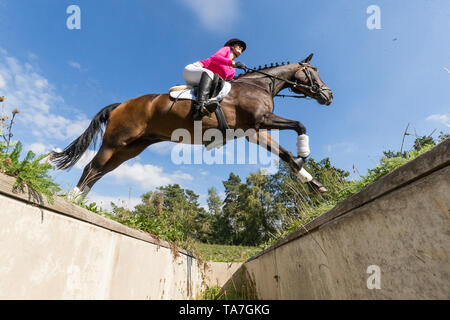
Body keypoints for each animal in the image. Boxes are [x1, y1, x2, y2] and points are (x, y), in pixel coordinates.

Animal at [51, 53, 334, 199]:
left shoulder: (255, 132)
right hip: (114, 141)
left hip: (131, 148)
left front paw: (314, 184)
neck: (259, 85)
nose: (329, 95)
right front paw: (304, 155)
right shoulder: (262, 120)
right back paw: (72, 200)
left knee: (100, 172)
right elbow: (300, 125)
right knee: (91, 167)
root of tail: (121, 104)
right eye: (314, 71)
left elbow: (285, 155)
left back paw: (82, 202)